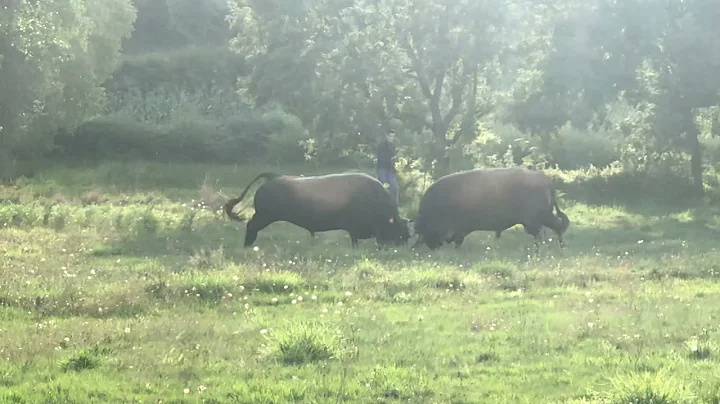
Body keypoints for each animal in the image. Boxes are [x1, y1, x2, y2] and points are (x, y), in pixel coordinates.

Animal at [222, 172, 410, 248]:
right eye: (398, 230)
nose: (402, 246)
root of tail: (273, 177)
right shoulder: (354, 230)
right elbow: (355, 240)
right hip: (264, 216)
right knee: (251, 226)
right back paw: (247, 245)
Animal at [410, 166, 568, 249]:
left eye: (423, 229)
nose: (432, 246)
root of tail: (546, 180)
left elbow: (458, 239)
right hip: (542, 218)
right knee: (556, 226)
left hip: (533, 221)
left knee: (548, 230)